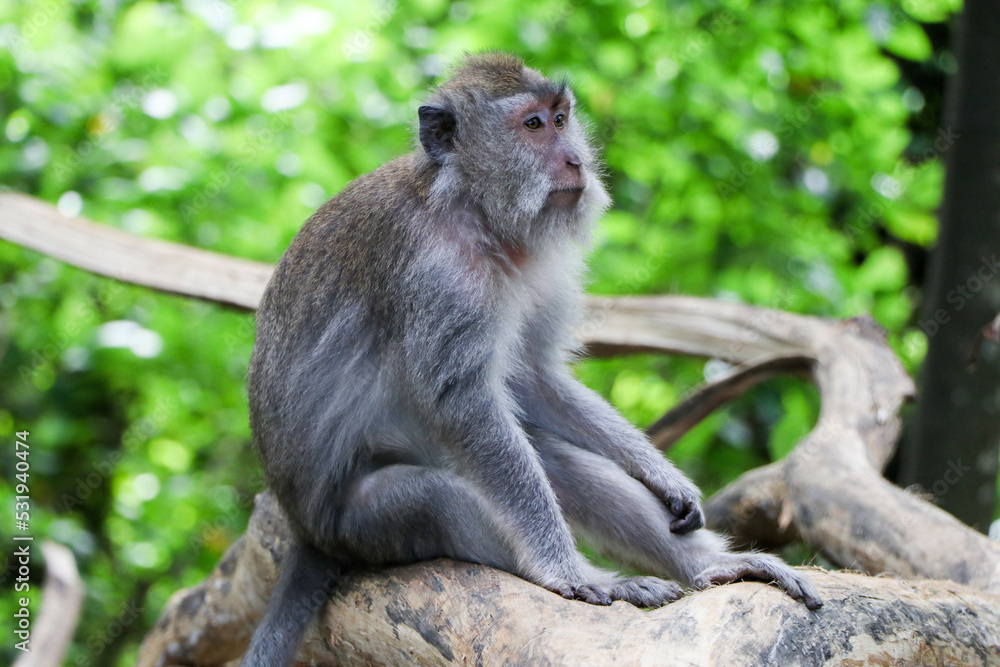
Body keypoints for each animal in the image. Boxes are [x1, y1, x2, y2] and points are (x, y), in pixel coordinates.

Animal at [240, 53, 820, 667]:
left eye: (562, 119)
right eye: (533, 125)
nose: (575, 160)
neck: (473, 208)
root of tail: (305, 528)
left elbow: (533, 380)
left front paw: (662, 476)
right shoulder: (441, 278)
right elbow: (467, 407)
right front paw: (566, 571)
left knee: (548, 454)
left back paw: (711, 566)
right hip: (361, 523)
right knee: (444, 497)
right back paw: (599, 577)